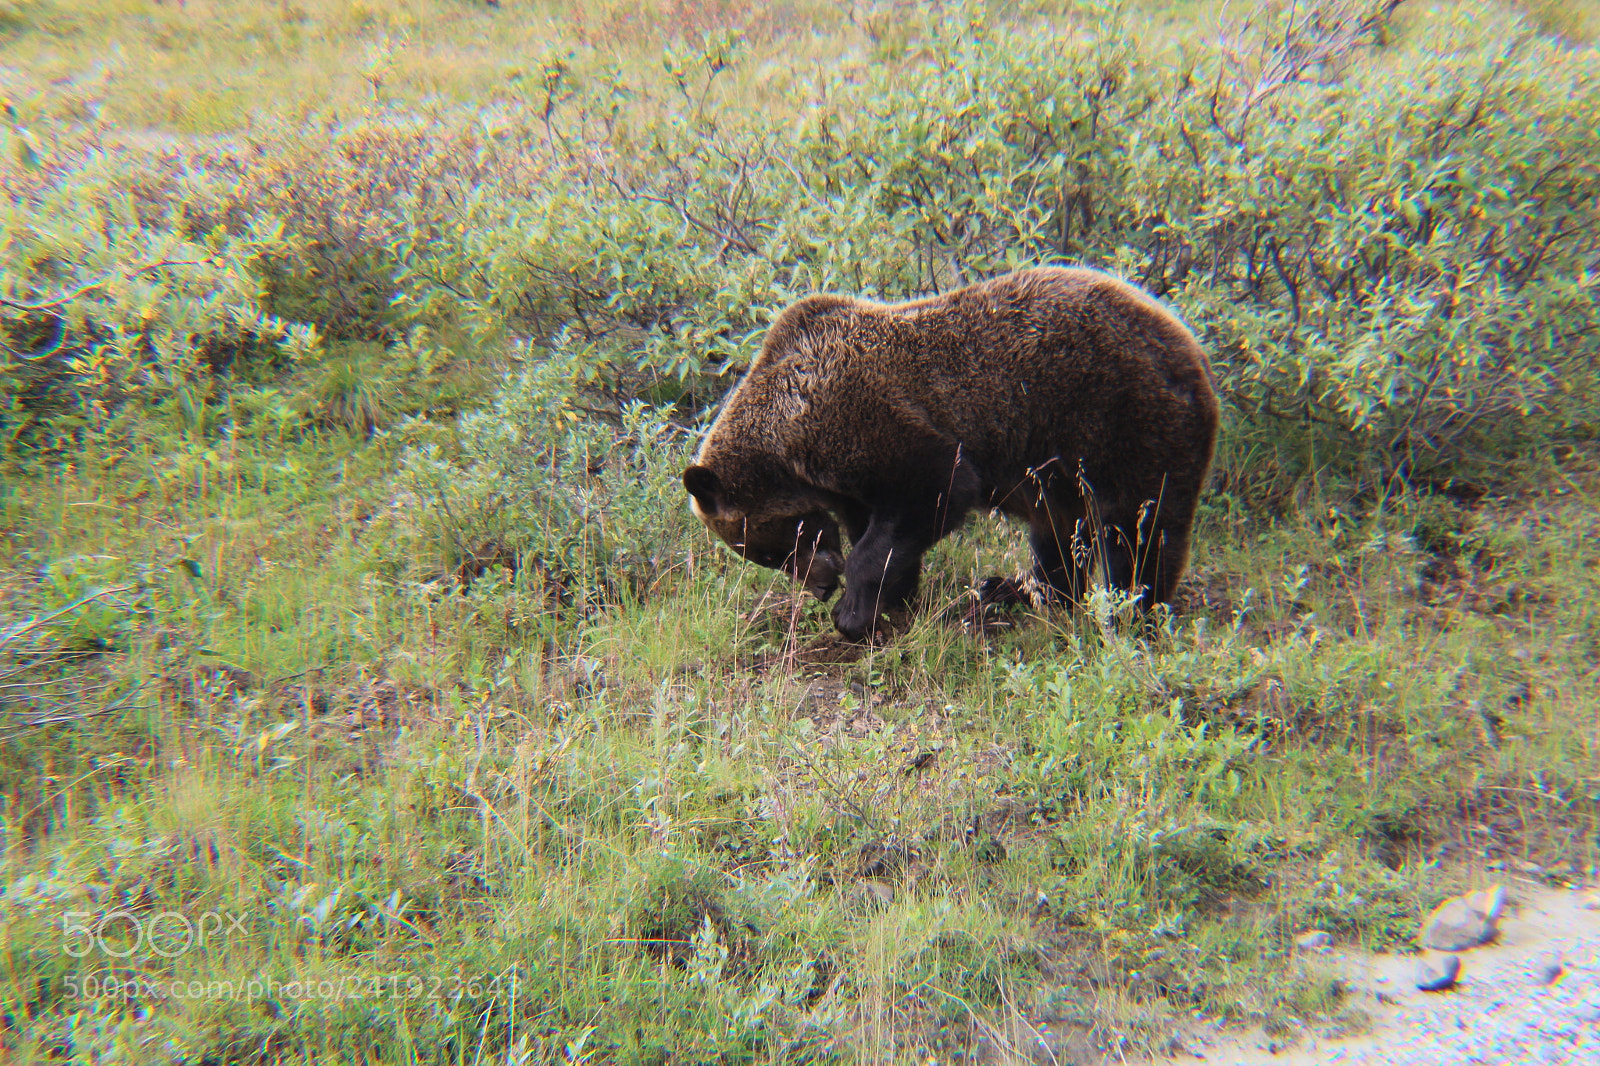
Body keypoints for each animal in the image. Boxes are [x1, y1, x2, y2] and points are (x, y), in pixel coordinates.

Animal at [682, 266, 1219, 641]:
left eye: (770, 550)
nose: (820, 586)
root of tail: (1191, 343)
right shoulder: (850, 480)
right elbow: (882, 533)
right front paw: (892, 599)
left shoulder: (876, 420)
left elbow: (936, 491)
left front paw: (852, 613)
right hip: (1060, 465)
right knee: (1056, 530)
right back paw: (1014, 590)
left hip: (1122, 420)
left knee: (1139, 529)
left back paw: (1132, 615)